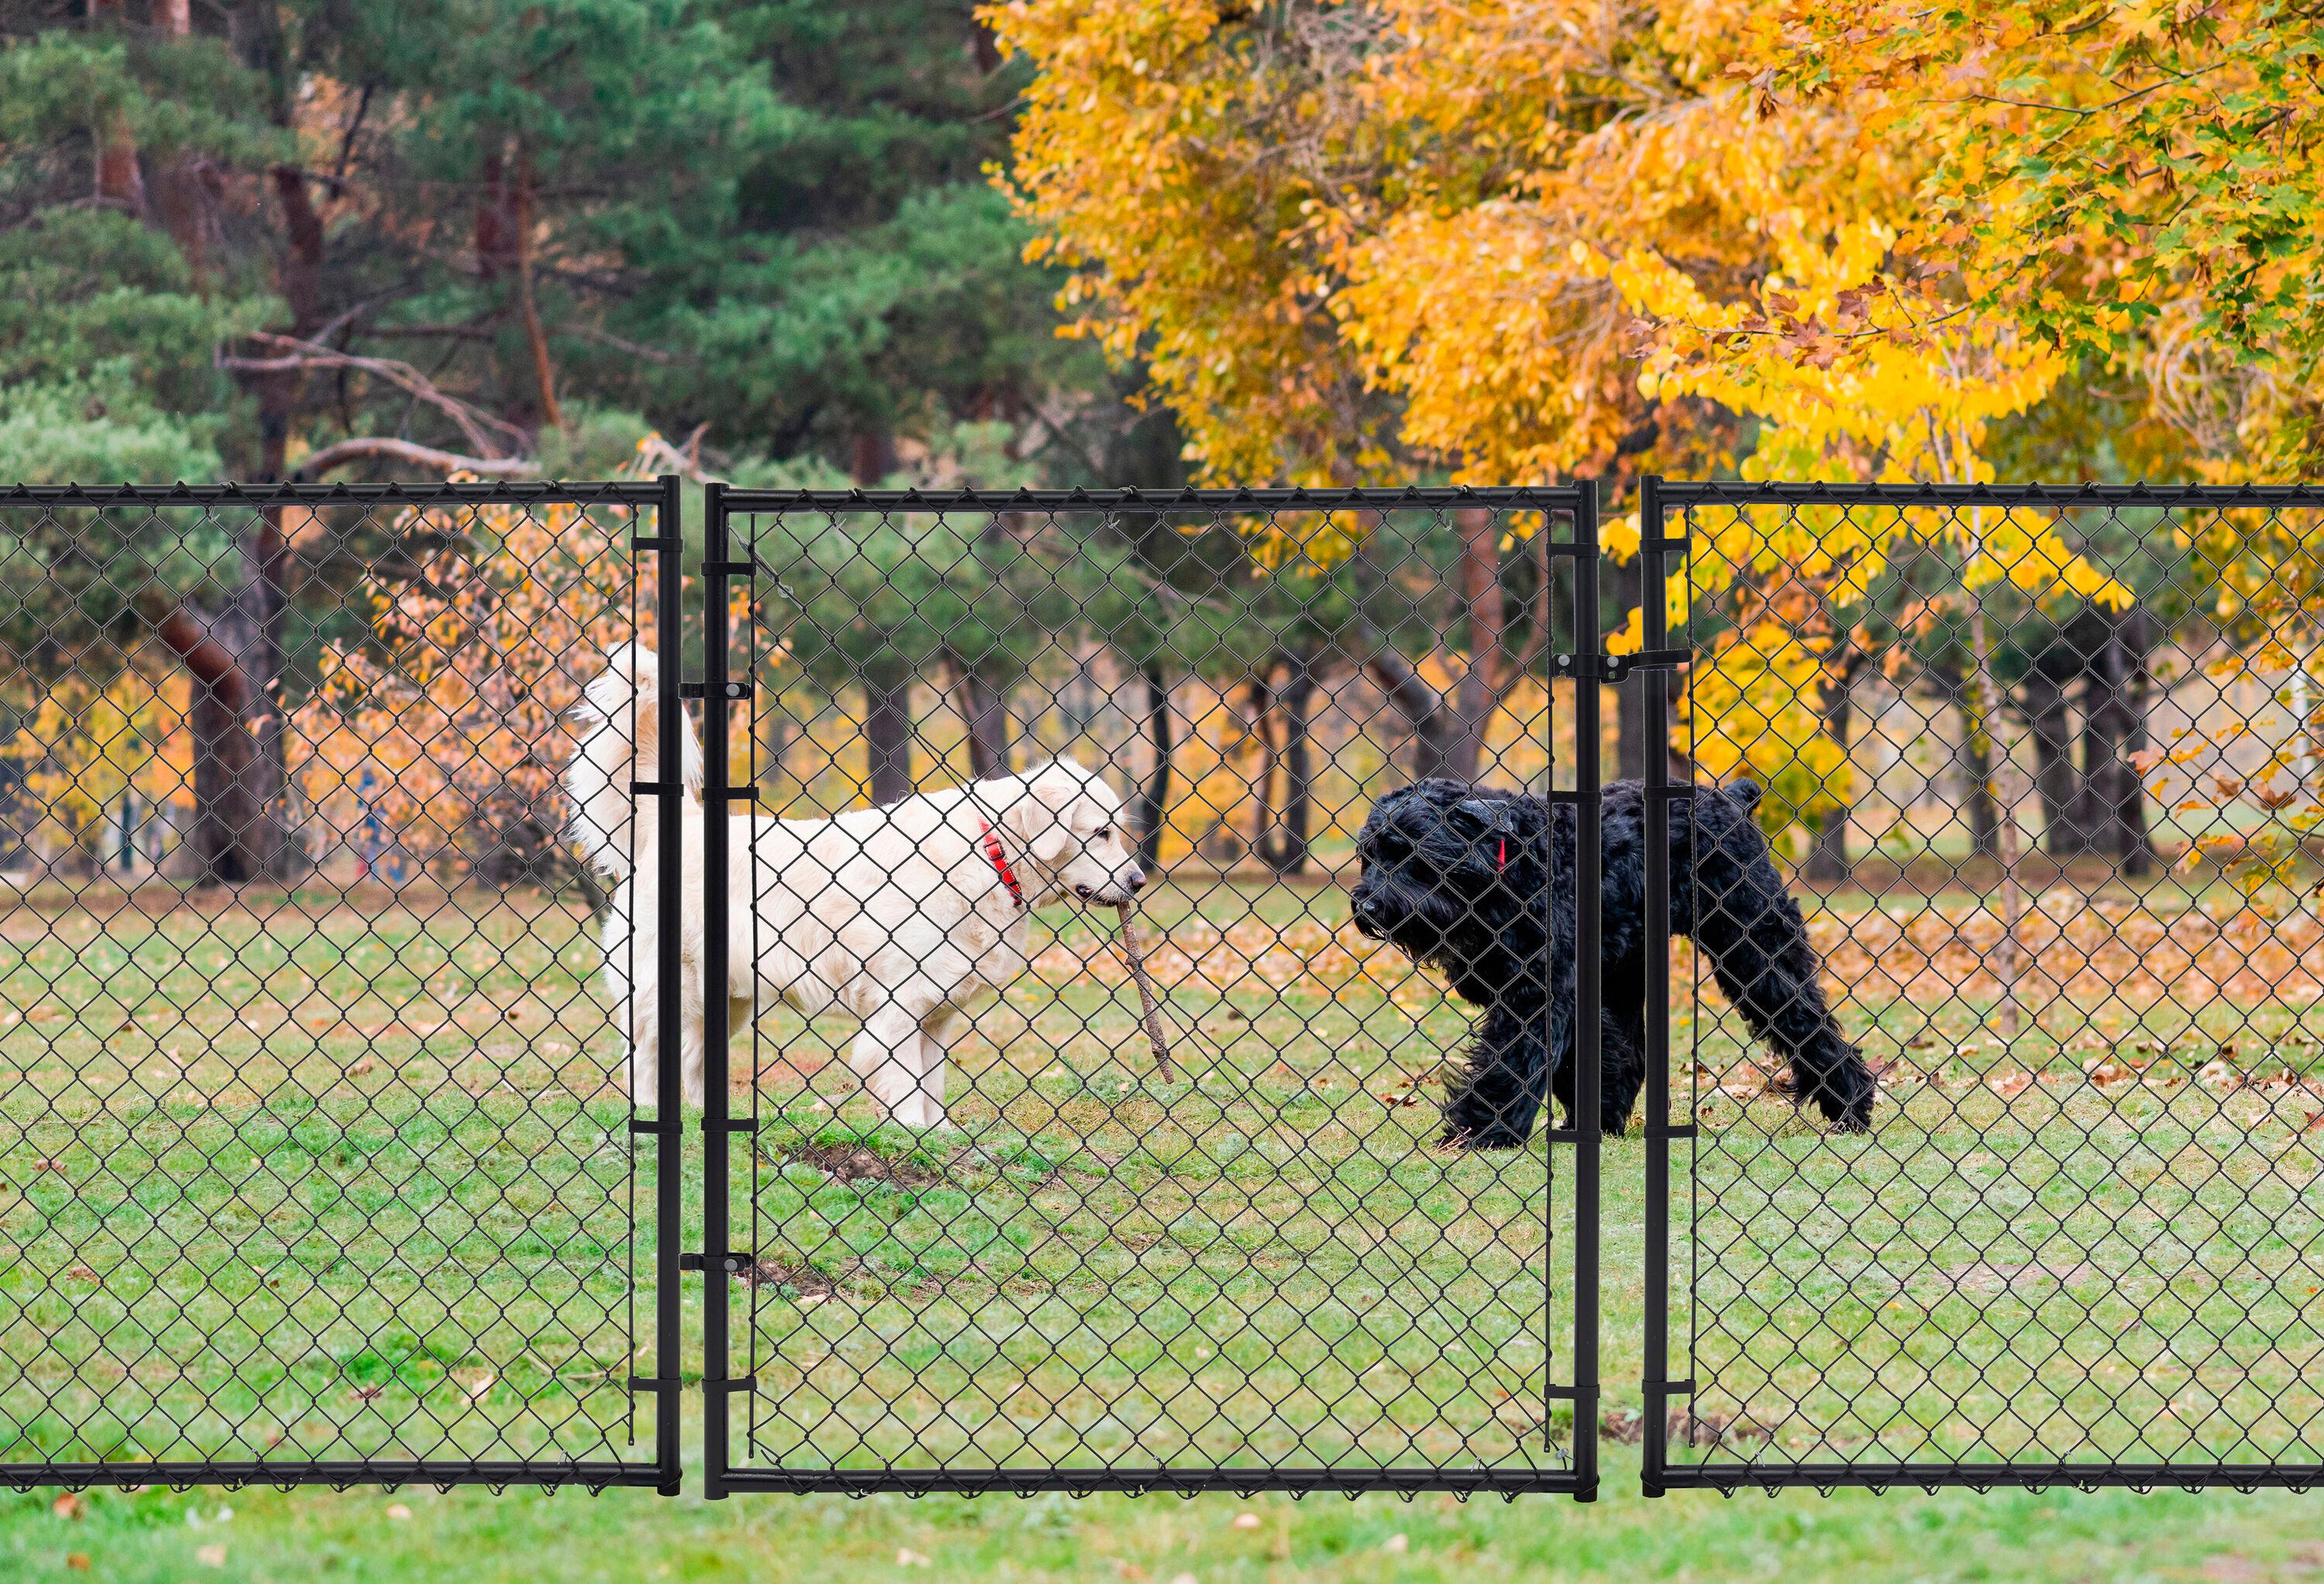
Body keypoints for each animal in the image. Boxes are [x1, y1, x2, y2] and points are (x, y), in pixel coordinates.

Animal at [565, 641, 1143, 1124]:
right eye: (1102, 832)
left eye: (1116, 829)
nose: (1138, 881)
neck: (990, 853)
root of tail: (681, 822)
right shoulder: (901, 1005)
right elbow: (907, 1087)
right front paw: (913, 1135)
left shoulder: (937, 1013)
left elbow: (933, 1088)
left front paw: (938, 1137)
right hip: (671, 989)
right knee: (646, 1056)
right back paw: (647, 1114)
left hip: (727, 1000)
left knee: (691, 1060)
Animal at [1357, 775, 1878, 1133]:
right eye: (1368, 856)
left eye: (1409, 852)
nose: (1366, 908)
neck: (1511, 863)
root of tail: (1732, 797)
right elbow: (1589, 1056)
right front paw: (1597, 1115)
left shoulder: (1536, 992)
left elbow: (1511, 1061)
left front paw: (1480, 1131)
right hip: (1633, 969)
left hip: (1753, 947)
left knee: (1804, 1017)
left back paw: (1851, 1106)